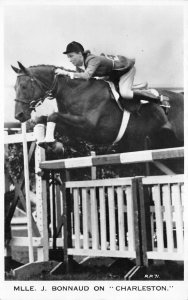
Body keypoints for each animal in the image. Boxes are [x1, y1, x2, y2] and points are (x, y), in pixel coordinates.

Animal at [11, 61, 184, 157]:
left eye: (24, 86)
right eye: (14, 87)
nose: (19, 115)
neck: (75, 90)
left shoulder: (89, 126)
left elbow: (53, 116)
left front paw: (53, 145)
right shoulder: (73, 127)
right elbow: (43, 119)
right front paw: (48, 143)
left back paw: (163, 100)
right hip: (161, 140)